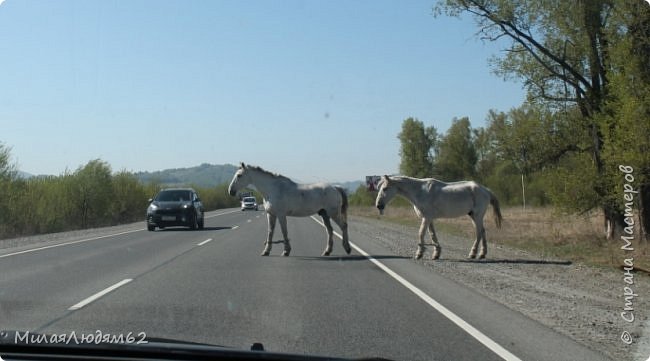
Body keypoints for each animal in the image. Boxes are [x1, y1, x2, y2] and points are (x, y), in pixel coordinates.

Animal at [374, 174, 502, 258]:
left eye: (385, 188)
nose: (378, 205)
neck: (420, 191)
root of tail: (486, 190)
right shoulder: (429, 219)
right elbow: (432, 234)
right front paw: (436, 253)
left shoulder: (426, 218)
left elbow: (421, 233)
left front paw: (419, 253)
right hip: (473, 216)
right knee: (483, 231)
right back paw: (482, 254)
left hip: (477, 215)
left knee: (479, 233)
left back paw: (473, 253)